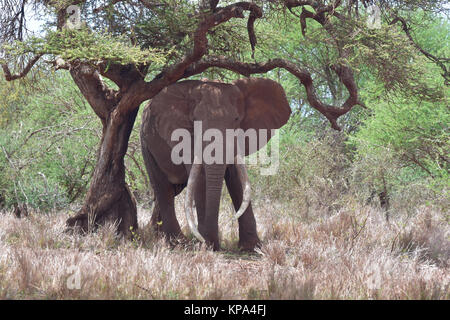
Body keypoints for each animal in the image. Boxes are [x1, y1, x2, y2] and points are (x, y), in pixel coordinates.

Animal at [139, 77, 290, 250]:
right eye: (195, 121)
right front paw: (207, 245)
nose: (210, 243)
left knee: (172, 189)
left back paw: (159, 235)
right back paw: (178, 243)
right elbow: (200, 177)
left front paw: (252, 247)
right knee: (163, 189)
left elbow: (236, 177)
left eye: (236, 119)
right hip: (146, 144)